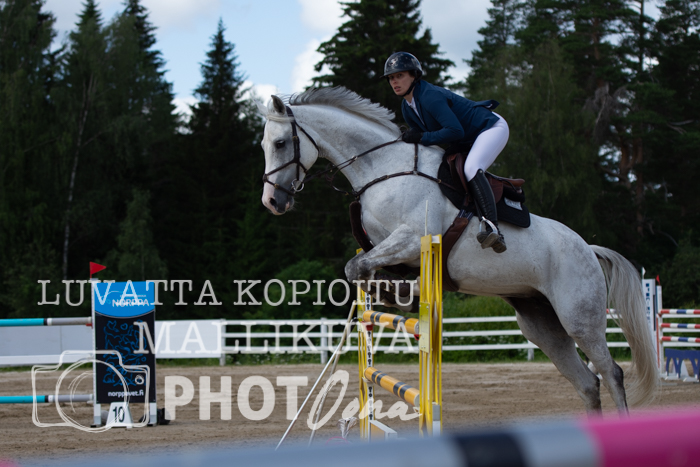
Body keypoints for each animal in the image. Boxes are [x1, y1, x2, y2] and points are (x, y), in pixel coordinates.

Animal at [256, 86, 658, 413]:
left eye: (280, 144)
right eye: (264, 145)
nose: (272, 202)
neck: (382, 168)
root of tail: (588, 248)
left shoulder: (412, 238)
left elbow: (356, 268)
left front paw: (395, 296)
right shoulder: (390, 249)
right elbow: (363, 266)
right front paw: (393, 294)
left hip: (579, 317)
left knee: (612, 373)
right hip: (540, 323)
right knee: (588, 383)